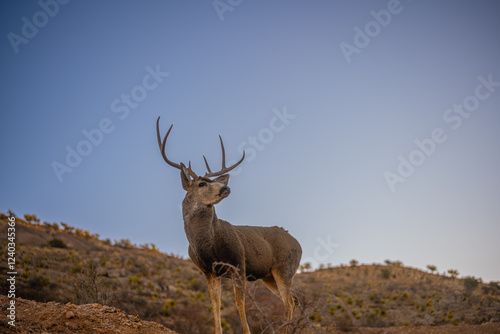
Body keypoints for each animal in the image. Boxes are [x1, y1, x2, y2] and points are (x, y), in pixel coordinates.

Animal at [156, 117, 302, 332]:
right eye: (201, 184)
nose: (226, 187)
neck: (208, 245)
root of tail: (298, 244)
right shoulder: (208, 271)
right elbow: (215, 304)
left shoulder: (239, 263)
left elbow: (239, 303)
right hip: (268, 275)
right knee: (293, 300)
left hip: (285, 267)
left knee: (289, 302)